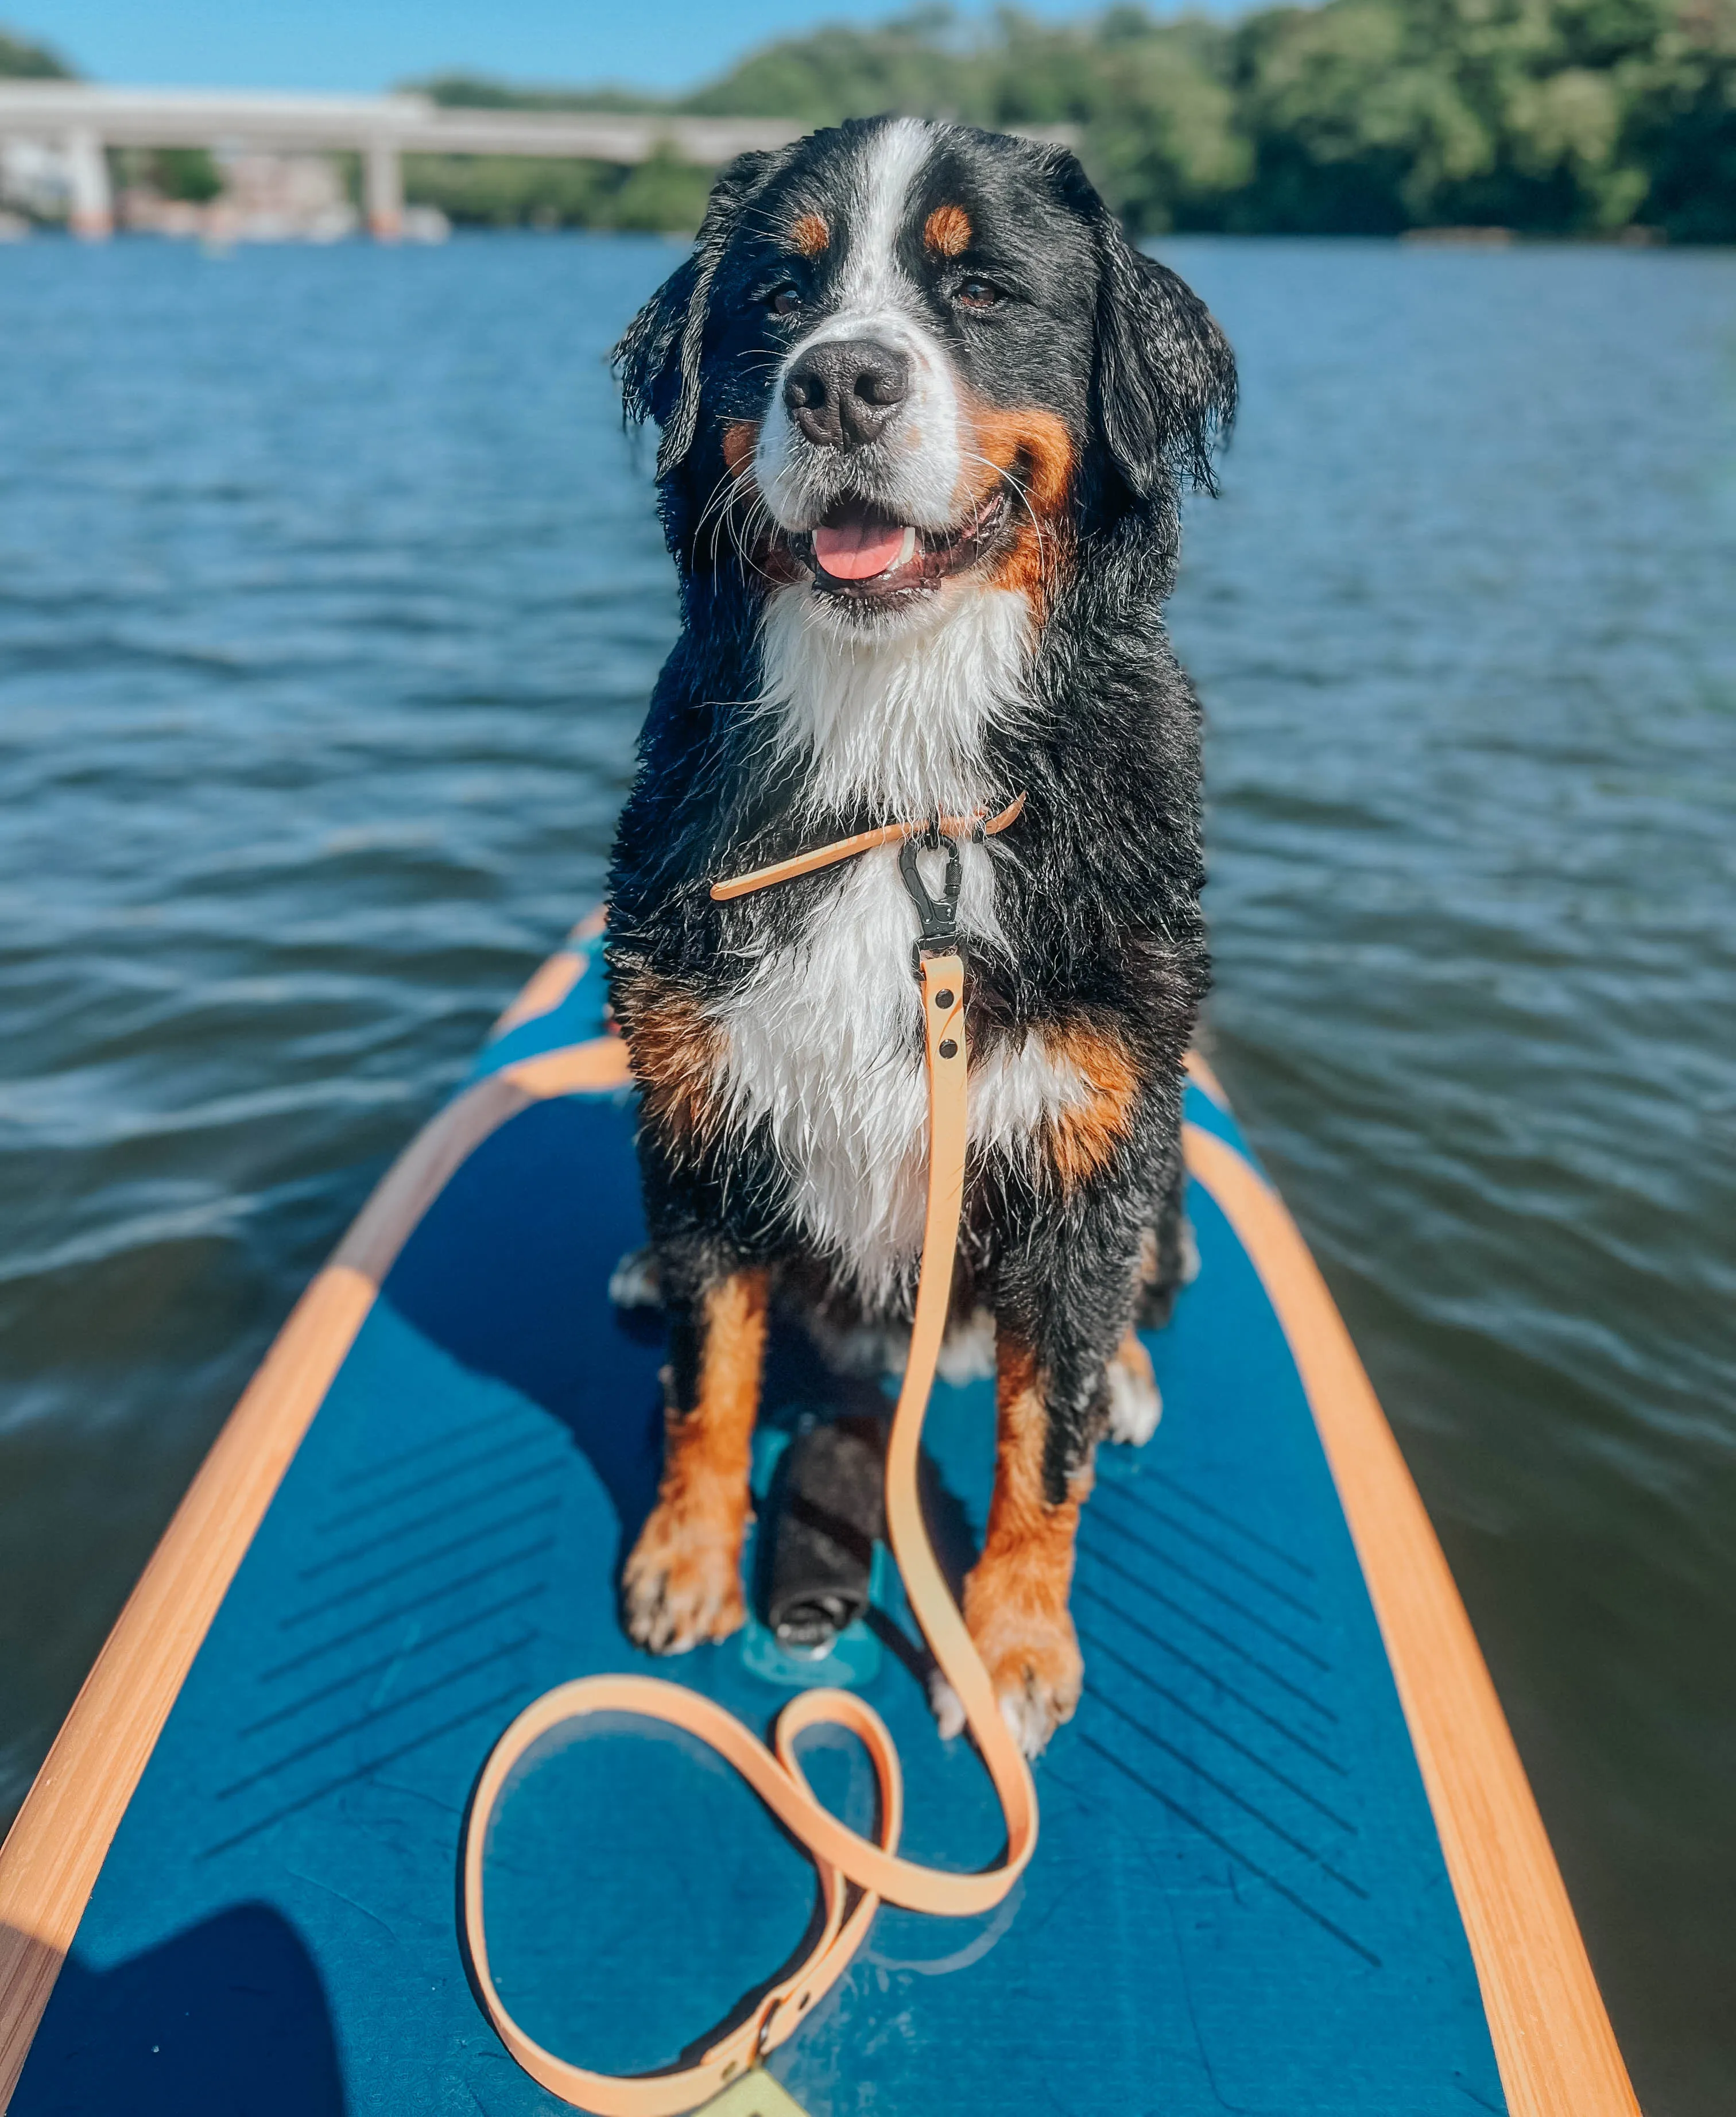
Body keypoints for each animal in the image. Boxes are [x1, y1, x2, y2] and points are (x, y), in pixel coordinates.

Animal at [605, 123, 1227, 1761]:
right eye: (780, 292)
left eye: (983, 288)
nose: (837, 383)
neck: (902, 789)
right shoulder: (703, 1095)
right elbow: (708, 1373)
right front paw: (684, 1555)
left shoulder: (1086, 1132)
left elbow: (1043, 1436)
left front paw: (1008, 1647)